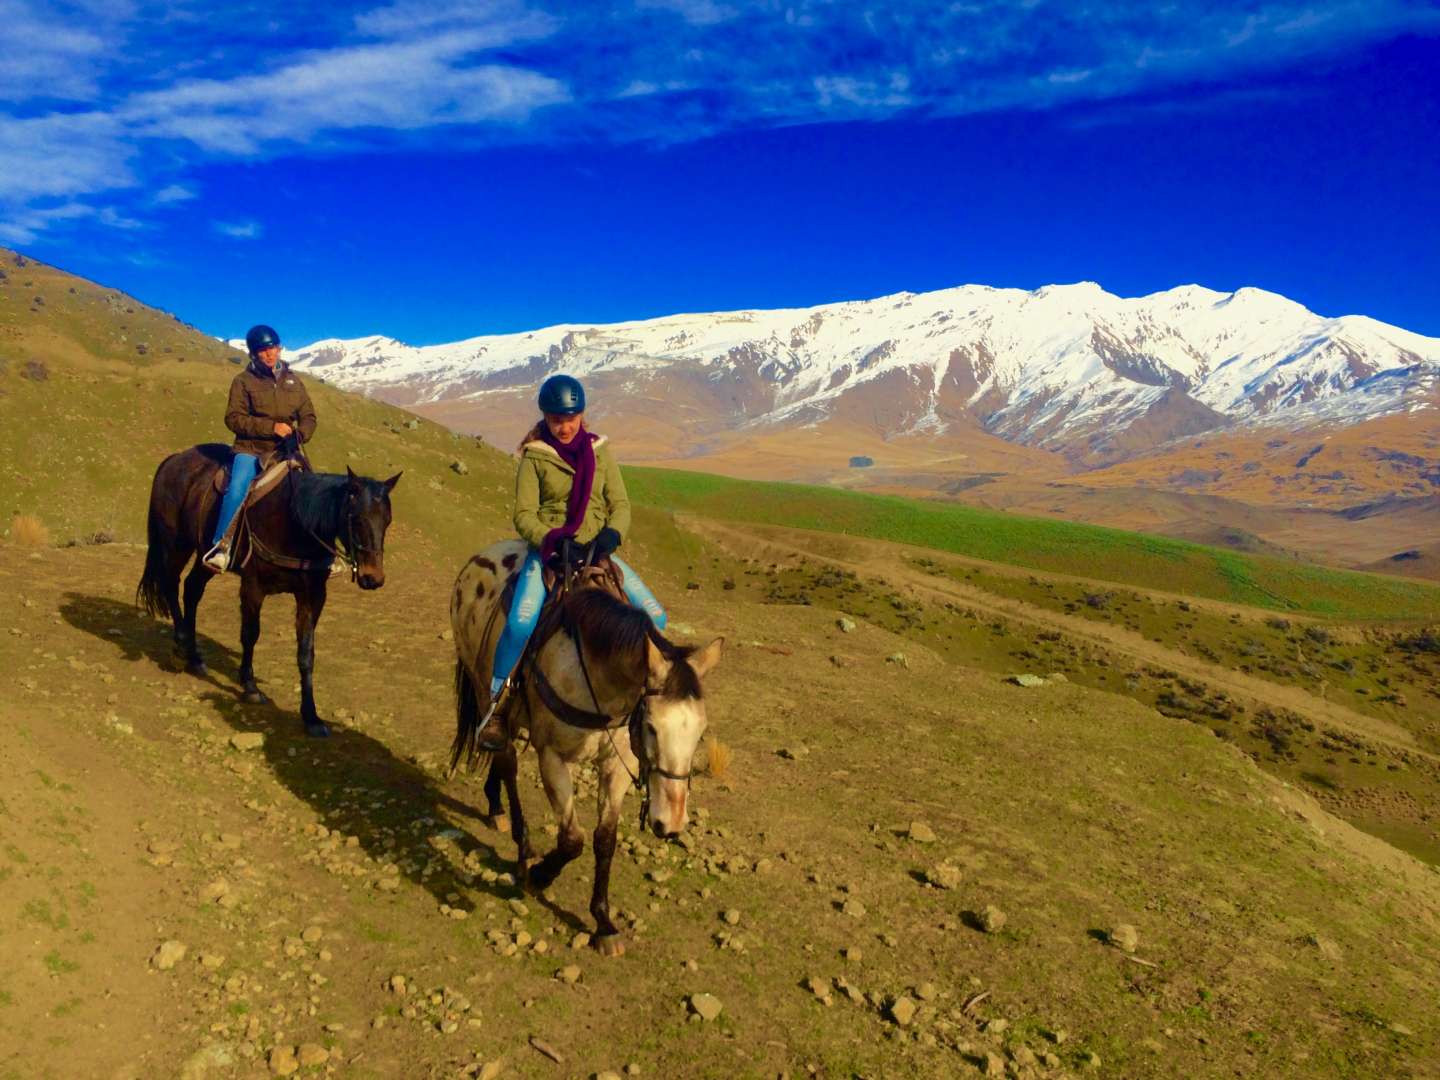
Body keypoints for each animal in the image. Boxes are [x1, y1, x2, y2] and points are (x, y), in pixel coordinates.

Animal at [138, 443, 400, 743]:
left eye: (387, 520)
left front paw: (311, 716)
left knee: (192, 590)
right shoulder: (254, 587)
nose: (373, 578)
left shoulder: (312, 596)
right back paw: (182, 646)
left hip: (203, 556)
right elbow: (250, 635)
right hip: (176, 543)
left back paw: (195, 658)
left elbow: (306, 653)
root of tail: (173, 460)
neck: (295, 523)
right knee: (171, 584)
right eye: (356, 519)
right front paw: (250, 687)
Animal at [449, 544, 720, 961]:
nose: (670, 823)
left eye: (700, 732)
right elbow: (572, 839)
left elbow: (604, 840)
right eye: (652, 726)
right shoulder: (552, 758)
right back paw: (523, 847)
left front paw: (604, 923)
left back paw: (495, 807)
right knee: (506, 759)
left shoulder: (616, 766)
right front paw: (541, 874)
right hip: (483, 689)